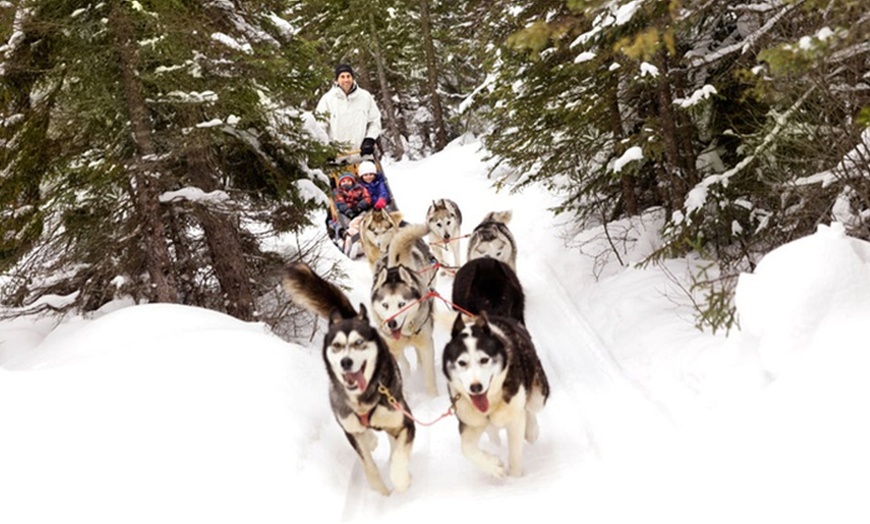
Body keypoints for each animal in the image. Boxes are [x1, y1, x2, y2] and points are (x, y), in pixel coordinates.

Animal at [282, 262, 414, 496]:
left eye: (359, 342)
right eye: (336, 346)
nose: (346, 362)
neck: (363, 400)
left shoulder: (404, 422)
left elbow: (399, 455)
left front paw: (401, 482)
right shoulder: (349, 429)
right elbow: (368, 464)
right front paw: (382, 493)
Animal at [372, 223, 440, 396]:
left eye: (402, 304)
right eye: (385, 305)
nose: (391, 323)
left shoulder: (426, 344)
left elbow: (430, 376)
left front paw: (433, 397)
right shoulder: (392, 346)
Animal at [446, 312, 548, 478]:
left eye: (484, 360)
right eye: (461, 363)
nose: (476, 387)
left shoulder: (514, 417)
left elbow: (515, 453)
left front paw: (515, 479)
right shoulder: (469, 421)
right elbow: (466, 449)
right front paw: (493, 466)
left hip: (538, 394)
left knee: (529, 407)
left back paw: (531, 430)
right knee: (492, 432)